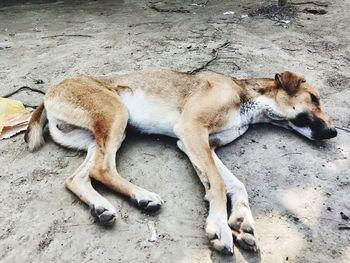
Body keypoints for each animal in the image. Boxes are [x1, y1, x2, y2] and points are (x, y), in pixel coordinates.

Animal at [24, 69, 336, 255]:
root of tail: (49, 92)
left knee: (77, 177)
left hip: (97, 136)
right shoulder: (191, 130)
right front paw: (220, 227)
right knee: (102, 169)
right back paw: (143, 196)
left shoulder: (201, 144)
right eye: (314, 98)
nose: (334, 132)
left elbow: (233, 184)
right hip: (116, 113)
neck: (246, 99)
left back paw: (102, 207)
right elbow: (219, 184)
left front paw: (242, 221)